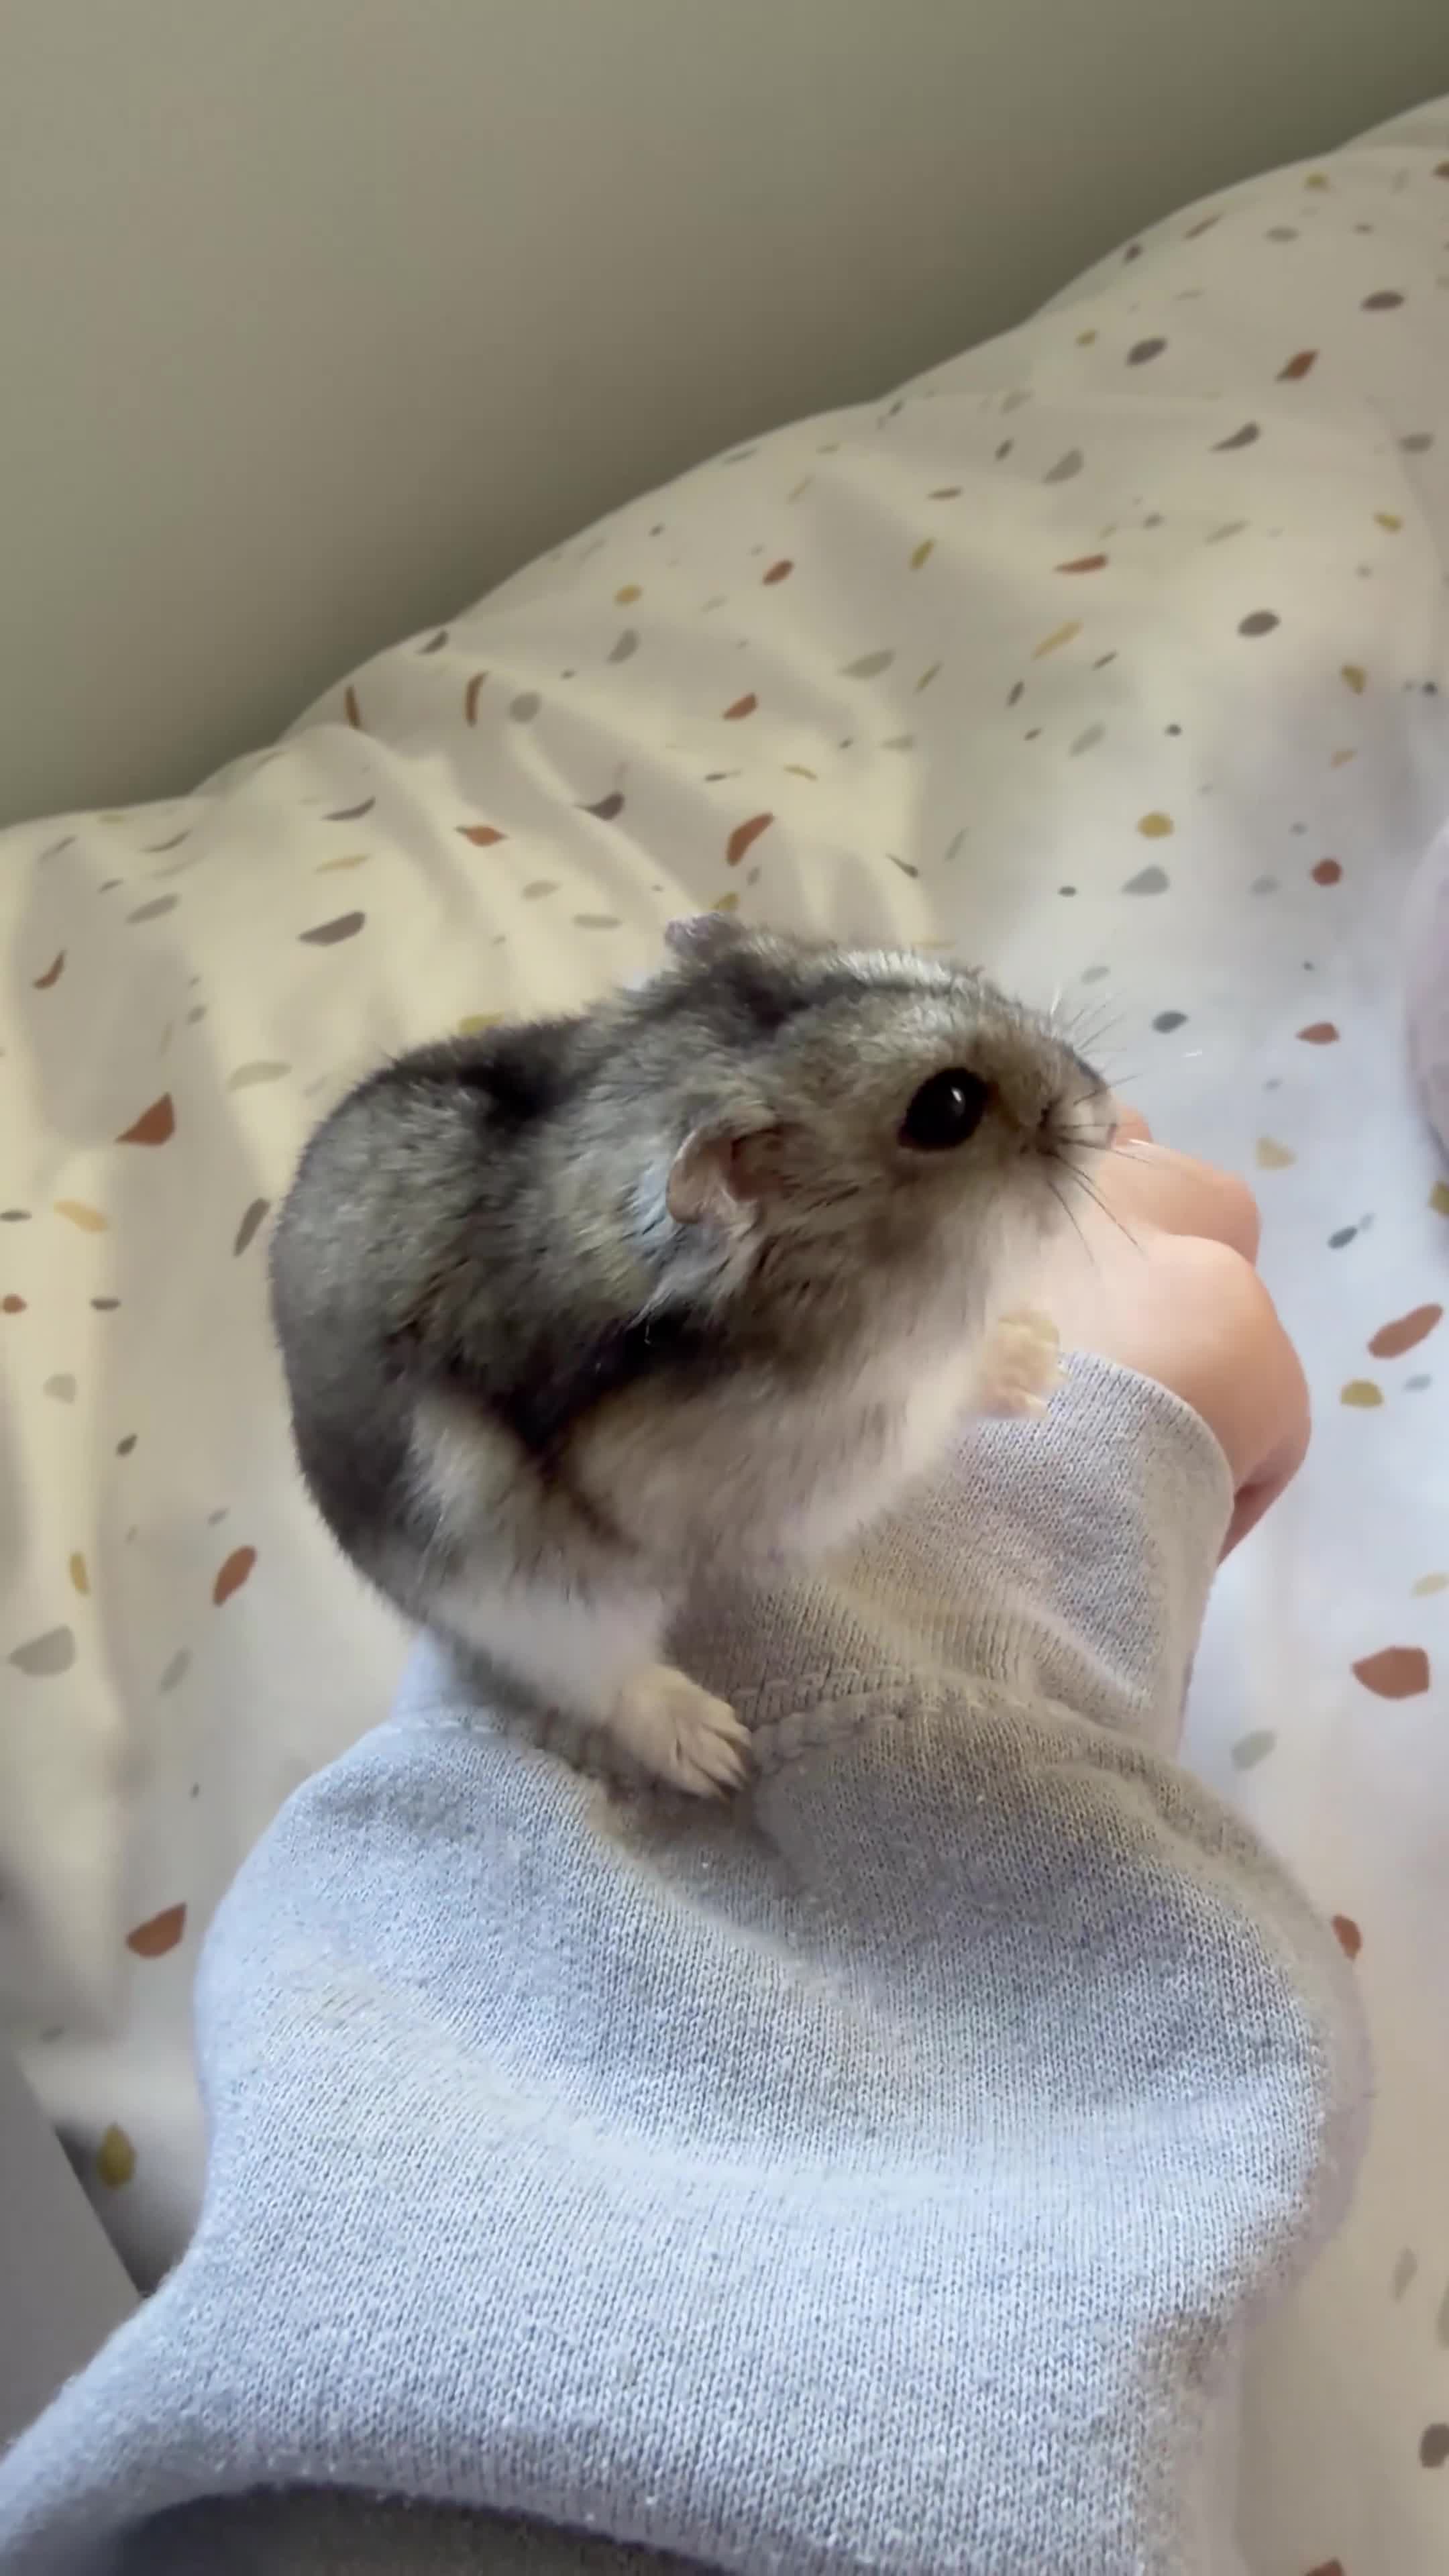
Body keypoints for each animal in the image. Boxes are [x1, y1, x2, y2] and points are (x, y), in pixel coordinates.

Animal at [269, 917, 1113, 1794]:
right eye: (948, 1108)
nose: (1108, 1108)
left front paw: (1034, 1352)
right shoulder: (845, 1451)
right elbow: (940, 1393)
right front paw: (1037, 1358)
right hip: (527, 1595)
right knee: (599, 1679)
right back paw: (717, 1754)